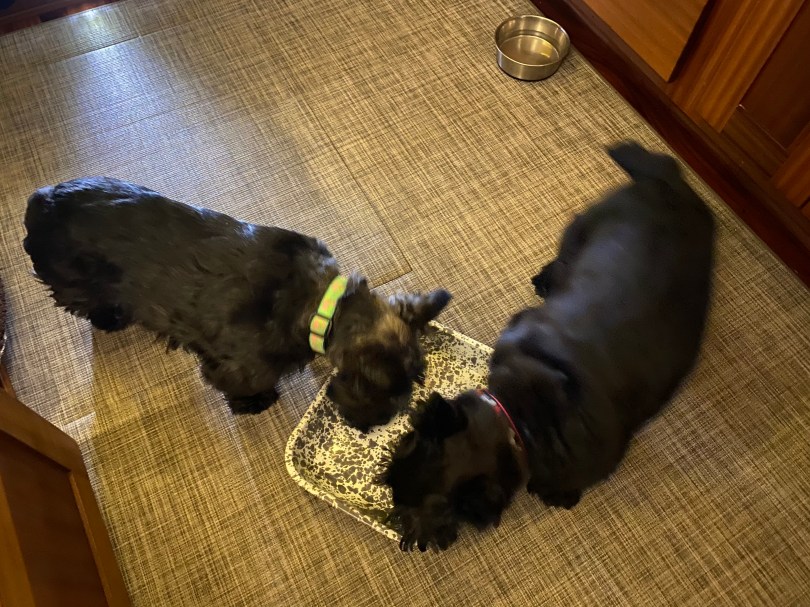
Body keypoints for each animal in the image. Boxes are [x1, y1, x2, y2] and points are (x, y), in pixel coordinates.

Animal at [23, 177, 451, 430]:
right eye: (379, 392)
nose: (370, 426)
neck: (321, 306)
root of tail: (43, 198)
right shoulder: (238, 367)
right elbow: (248, 384)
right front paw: (256, 403)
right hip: (76, 283)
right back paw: (109, 317)